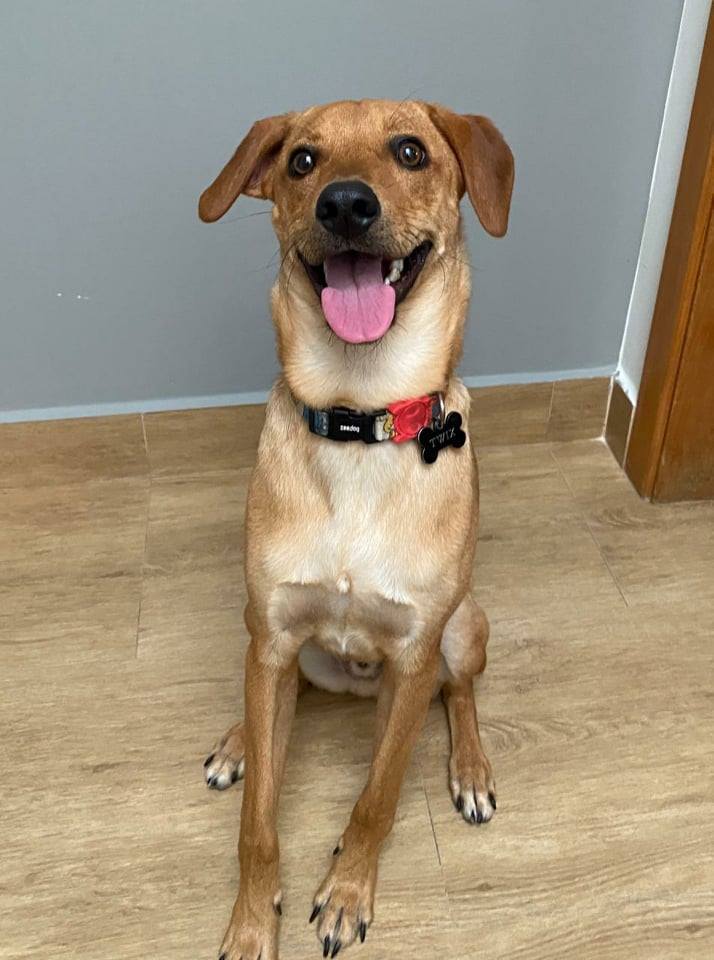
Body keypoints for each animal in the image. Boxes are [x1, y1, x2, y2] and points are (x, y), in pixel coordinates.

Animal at [199, 99, 512, 960]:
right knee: (276, 694)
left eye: (410, 152)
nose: (344, 204)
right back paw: (241, 740)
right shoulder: (272, 633)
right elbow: (258, 826)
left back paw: (472, 768)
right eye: (302, 161)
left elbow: (376, 797)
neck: (357, 416)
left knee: (461, 693)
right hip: (265, 638)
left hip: (465, 626)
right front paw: (251, 921)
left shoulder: (412, 660)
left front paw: (345, 892)